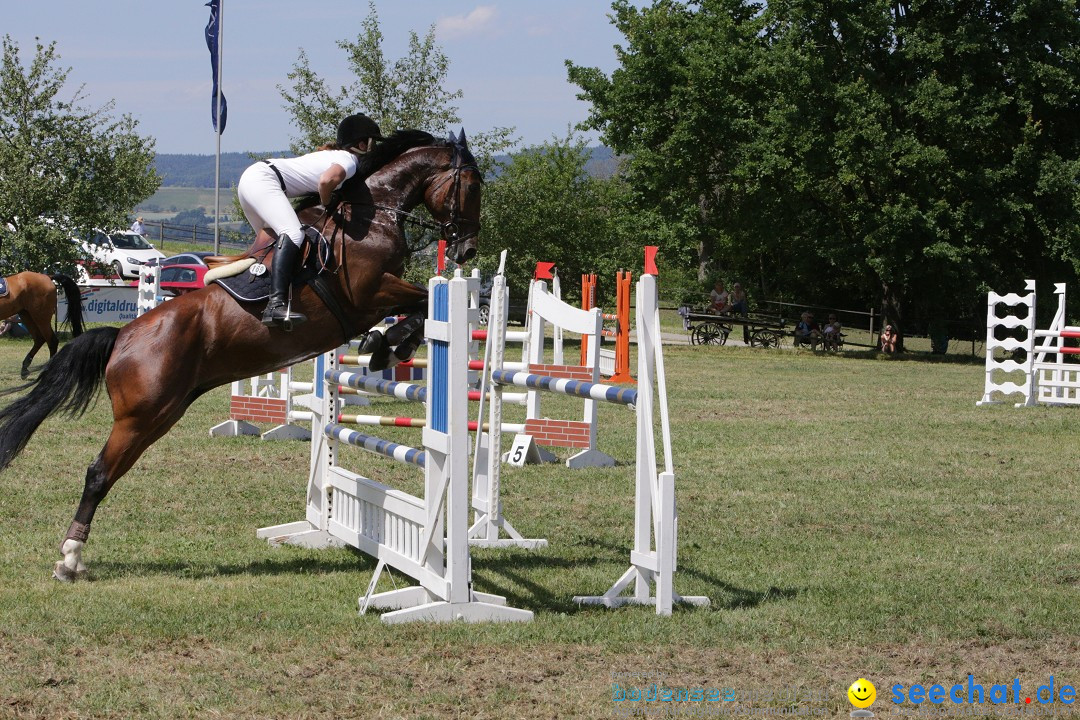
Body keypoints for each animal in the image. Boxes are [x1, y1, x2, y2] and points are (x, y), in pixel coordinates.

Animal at [0, 127, 481, 578]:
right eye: (473, 186)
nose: (467, 250)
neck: (375, 212)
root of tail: (122, 338)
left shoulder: (375, 297)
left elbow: (421, 306)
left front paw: (386, 346)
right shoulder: (369, 293)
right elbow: (422, 300)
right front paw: (388, 345)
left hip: (160, 415)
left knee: (108, 471)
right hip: (141, 416)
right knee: (98, 474)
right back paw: (70, 557)